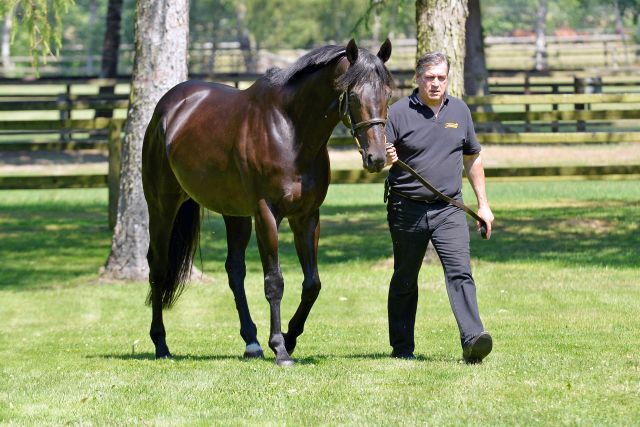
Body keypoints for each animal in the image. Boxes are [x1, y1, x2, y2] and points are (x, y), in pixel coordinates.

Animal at [141, 39, 392, 364]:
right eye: (354, 95)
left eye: (387, 94)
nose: (377, 158)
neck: (290, 131)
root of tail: (167, 108)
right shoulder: (266, 215)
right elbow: (274, 281)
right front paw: (280, 348)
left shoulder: (306, 217)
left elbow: (312, 284)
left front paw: (290, 337)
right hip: (162, 207)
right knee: (158, 268)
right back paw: (161, 344)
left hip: (234, 214)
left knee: (234, 271)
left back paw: (251, 343)